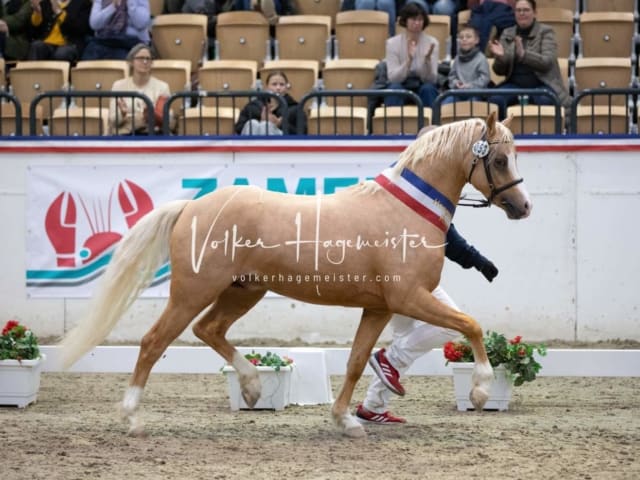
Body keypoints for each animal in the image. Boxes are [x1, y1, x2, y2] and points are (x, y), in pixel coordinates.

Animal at [61, 113, 528, 438]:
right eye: (499, 159)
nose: (523, 207)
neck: (405, 209)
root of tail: (191, 206)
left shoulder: (378, 307)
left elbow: (356, 361)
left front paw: (346, 421)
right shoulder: (409, 298)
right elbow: (471, 325)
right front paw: (481, 390)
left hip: (241, 291)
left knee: (208, 330)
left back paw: (251, 387)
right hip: (193, 291)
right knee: (154, 342)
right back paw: (133, 418)